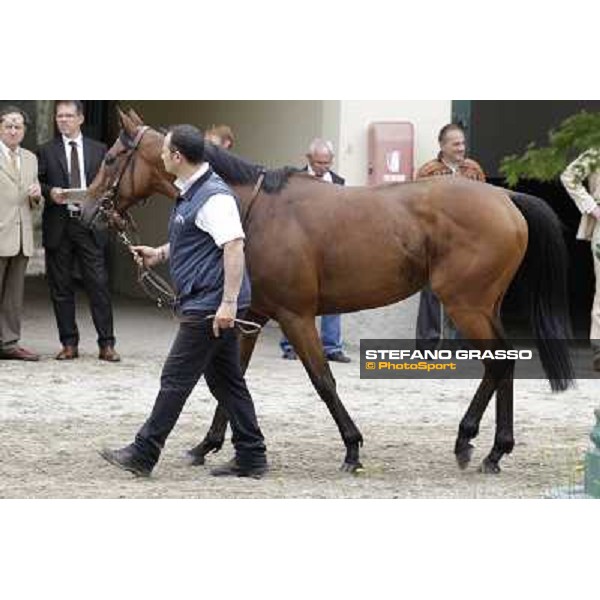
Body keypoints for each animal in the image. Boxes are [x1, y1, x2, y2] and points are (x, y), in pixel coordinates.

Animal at [84, 106, 572, 474]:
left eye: (110, 158)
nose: (86, 211)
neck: (251, 208)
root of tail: (505, 198)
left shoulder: (295, 315)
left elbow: (322, 380)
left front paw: (352, 448)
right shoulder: (249, 316)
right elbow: (231, 381)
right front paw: (207, 447)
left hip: (465, 304)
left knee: (499, 363)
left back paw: (481, 446)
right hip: (482, 305)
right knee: (500, 364)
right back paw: (483, 447)